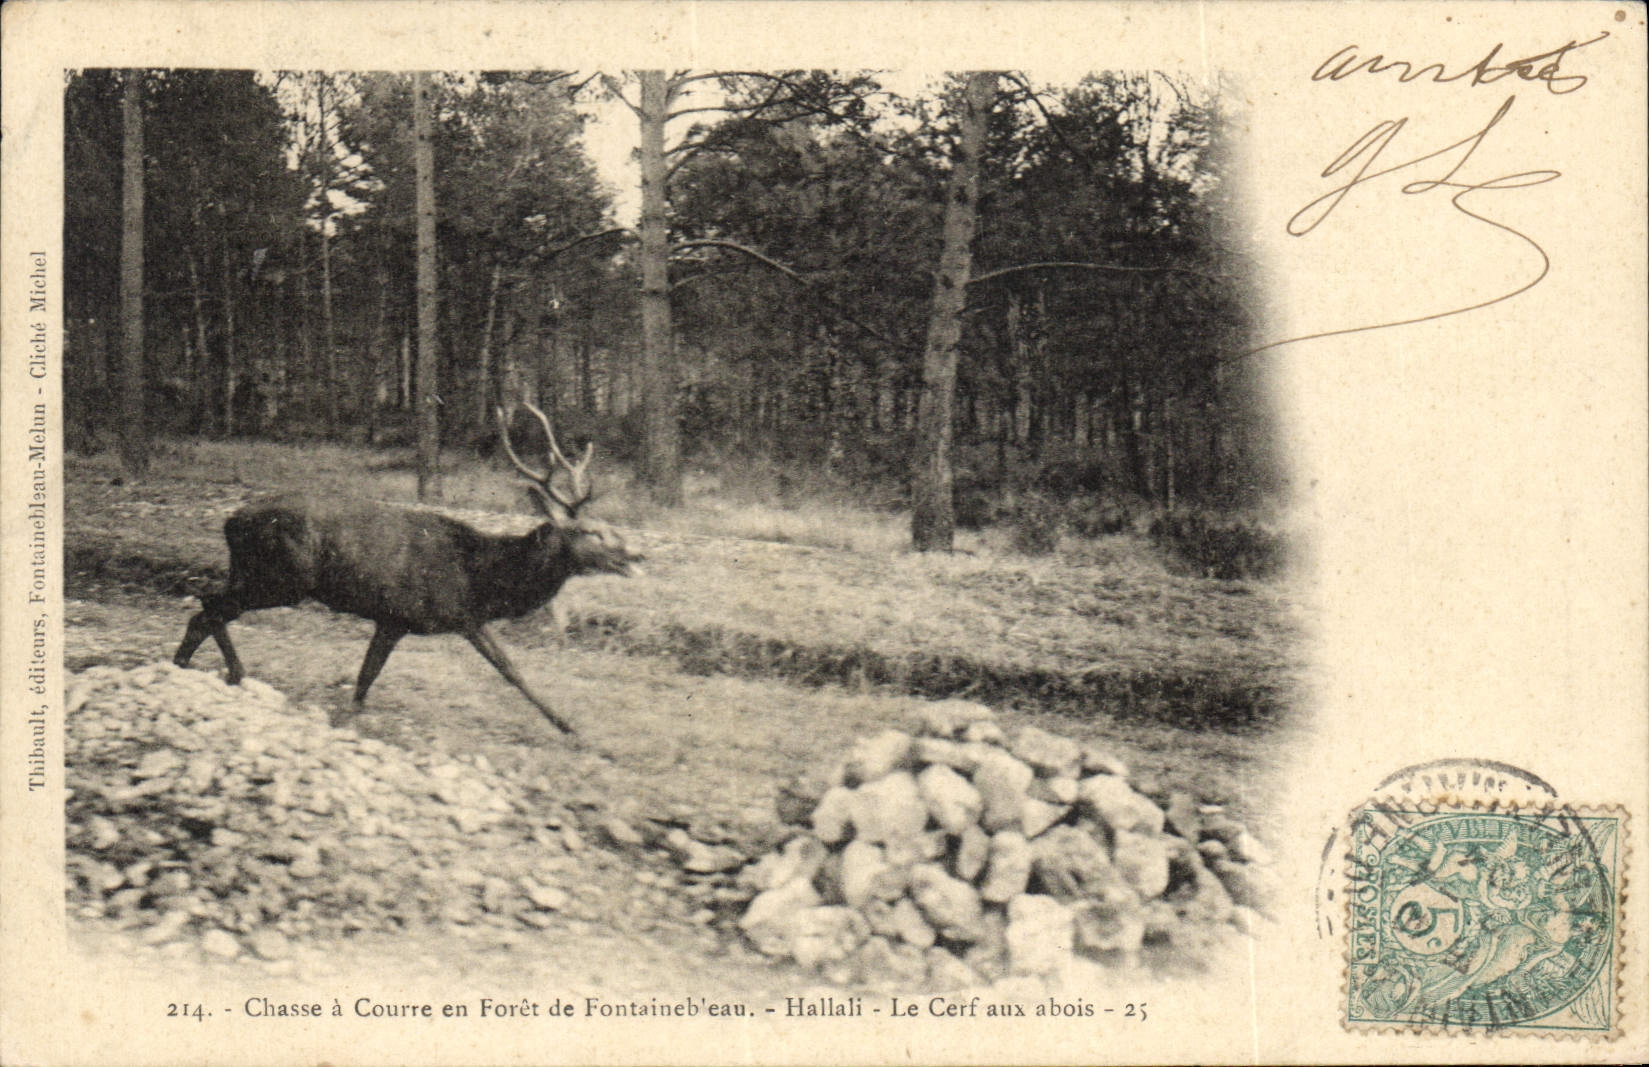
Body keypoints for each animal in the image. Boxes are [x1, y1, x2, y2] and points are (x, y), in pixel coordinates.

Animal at [173, 402, 642, 736]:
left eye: (611, 527)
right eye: (591, 532)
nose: (635, 556)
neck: (480, 579)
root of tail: (230, 521)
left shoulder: (413, 618)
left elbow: (371, 676)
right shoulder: (424, 613)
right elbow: (506, 669)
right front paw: (569, 726)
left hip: (253, 573)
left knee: (206, 605)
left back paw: (189, 666)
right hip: (279, 579)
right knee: (209, 604)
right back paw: (231, 672)